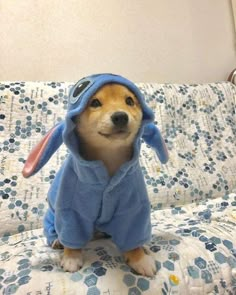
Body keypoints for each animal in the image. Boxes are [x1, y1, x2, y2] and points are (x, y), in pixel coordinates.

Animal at [22, 73, 168, 278]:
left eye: (130, 101)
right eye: (95, 103)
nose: (120, 116)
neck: (109, 159)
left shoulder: (132, 209)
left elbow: (132, 235)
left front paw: (139, 257)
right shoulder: (71, 211)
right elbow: (71, 236)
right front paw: (71, 257)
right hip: (51, 217)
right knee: (54, 232)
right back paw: (57, 241)